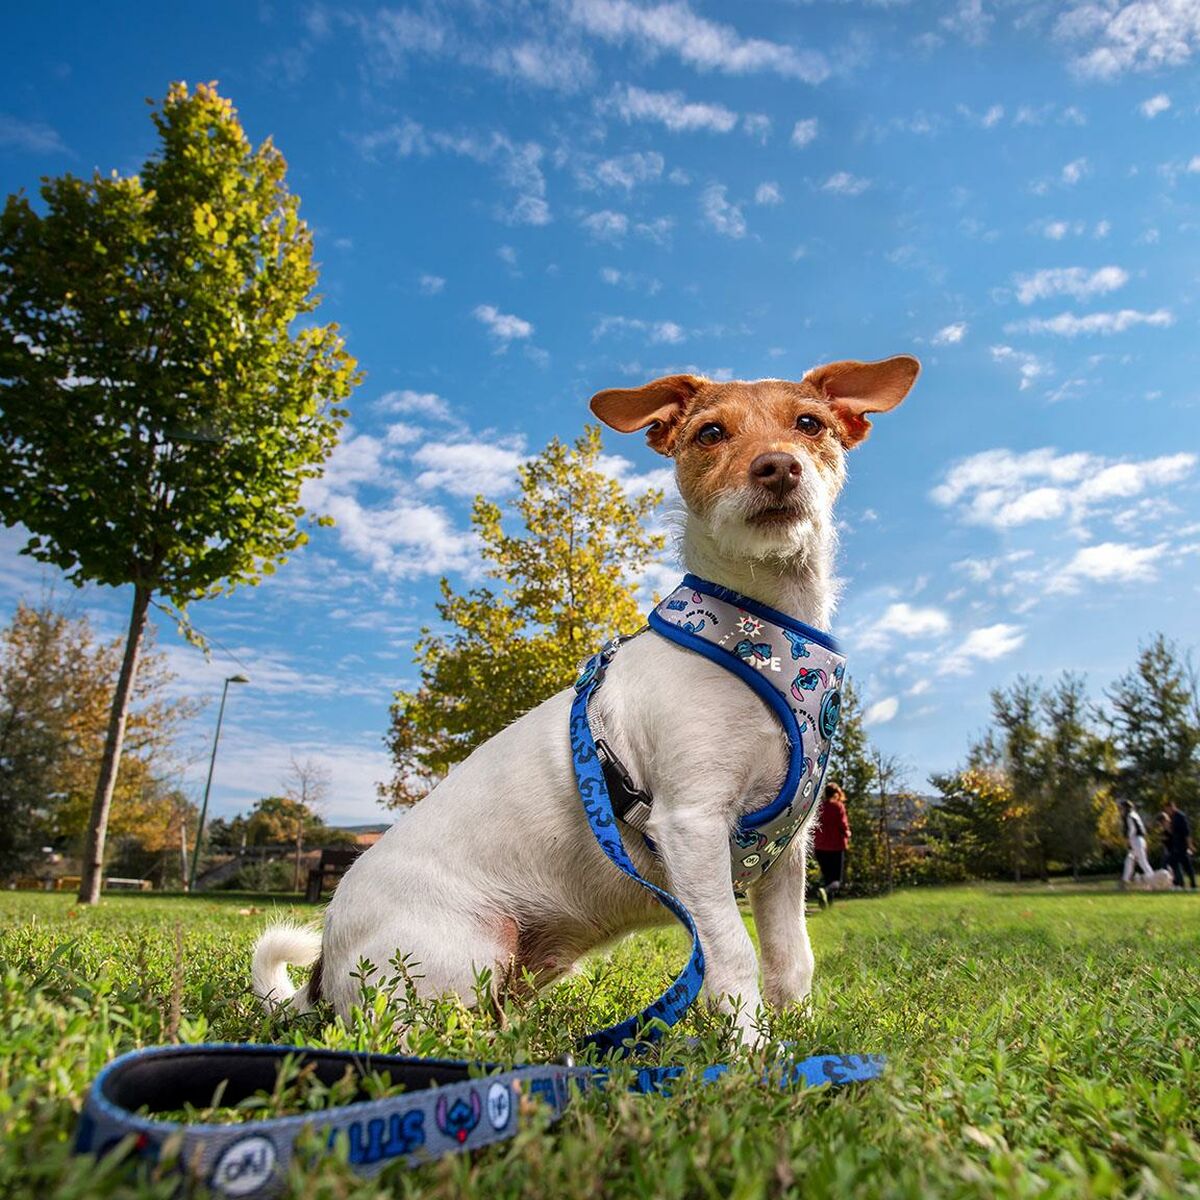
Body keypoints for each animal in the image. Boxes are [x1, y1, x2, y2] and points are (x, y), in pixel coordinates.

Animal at [255, 352, 916, 1041]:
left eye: (809, 423)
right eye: (710, 433)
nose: (778, 465)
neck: (763, 635)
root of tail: (323, 969)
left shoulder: (788, 856)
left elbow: (793, 959)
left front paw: (799, 1038)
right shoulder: (691, 826)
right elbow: (732, 955)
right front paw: (753, 1050)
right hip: (461, 953)